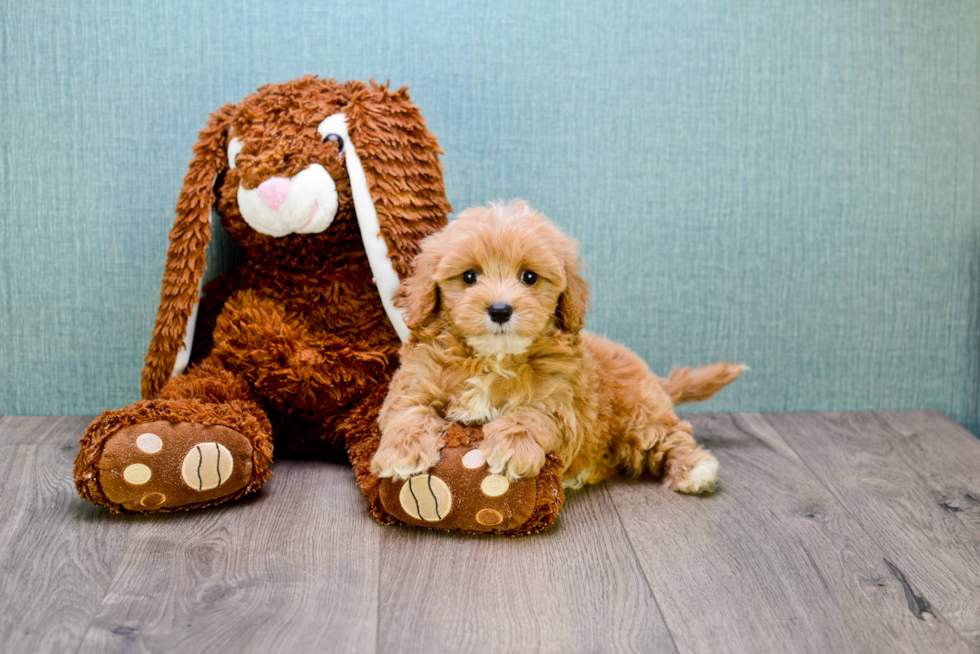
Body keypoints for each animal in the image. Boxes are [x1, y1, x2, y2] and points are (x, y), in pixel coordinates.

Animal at [372, 200, 740, 492]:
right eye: (469, 277)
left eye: (529, 277)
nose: (500, 310)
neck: (494, 357)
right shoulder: (414, 382)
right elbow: (409, 412)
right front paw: (402, 450)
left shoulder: (561, 400)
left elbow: (531, 413)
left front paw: (512, 447)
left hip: (640, 413)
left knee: (671, 435)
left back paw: (694, 469)